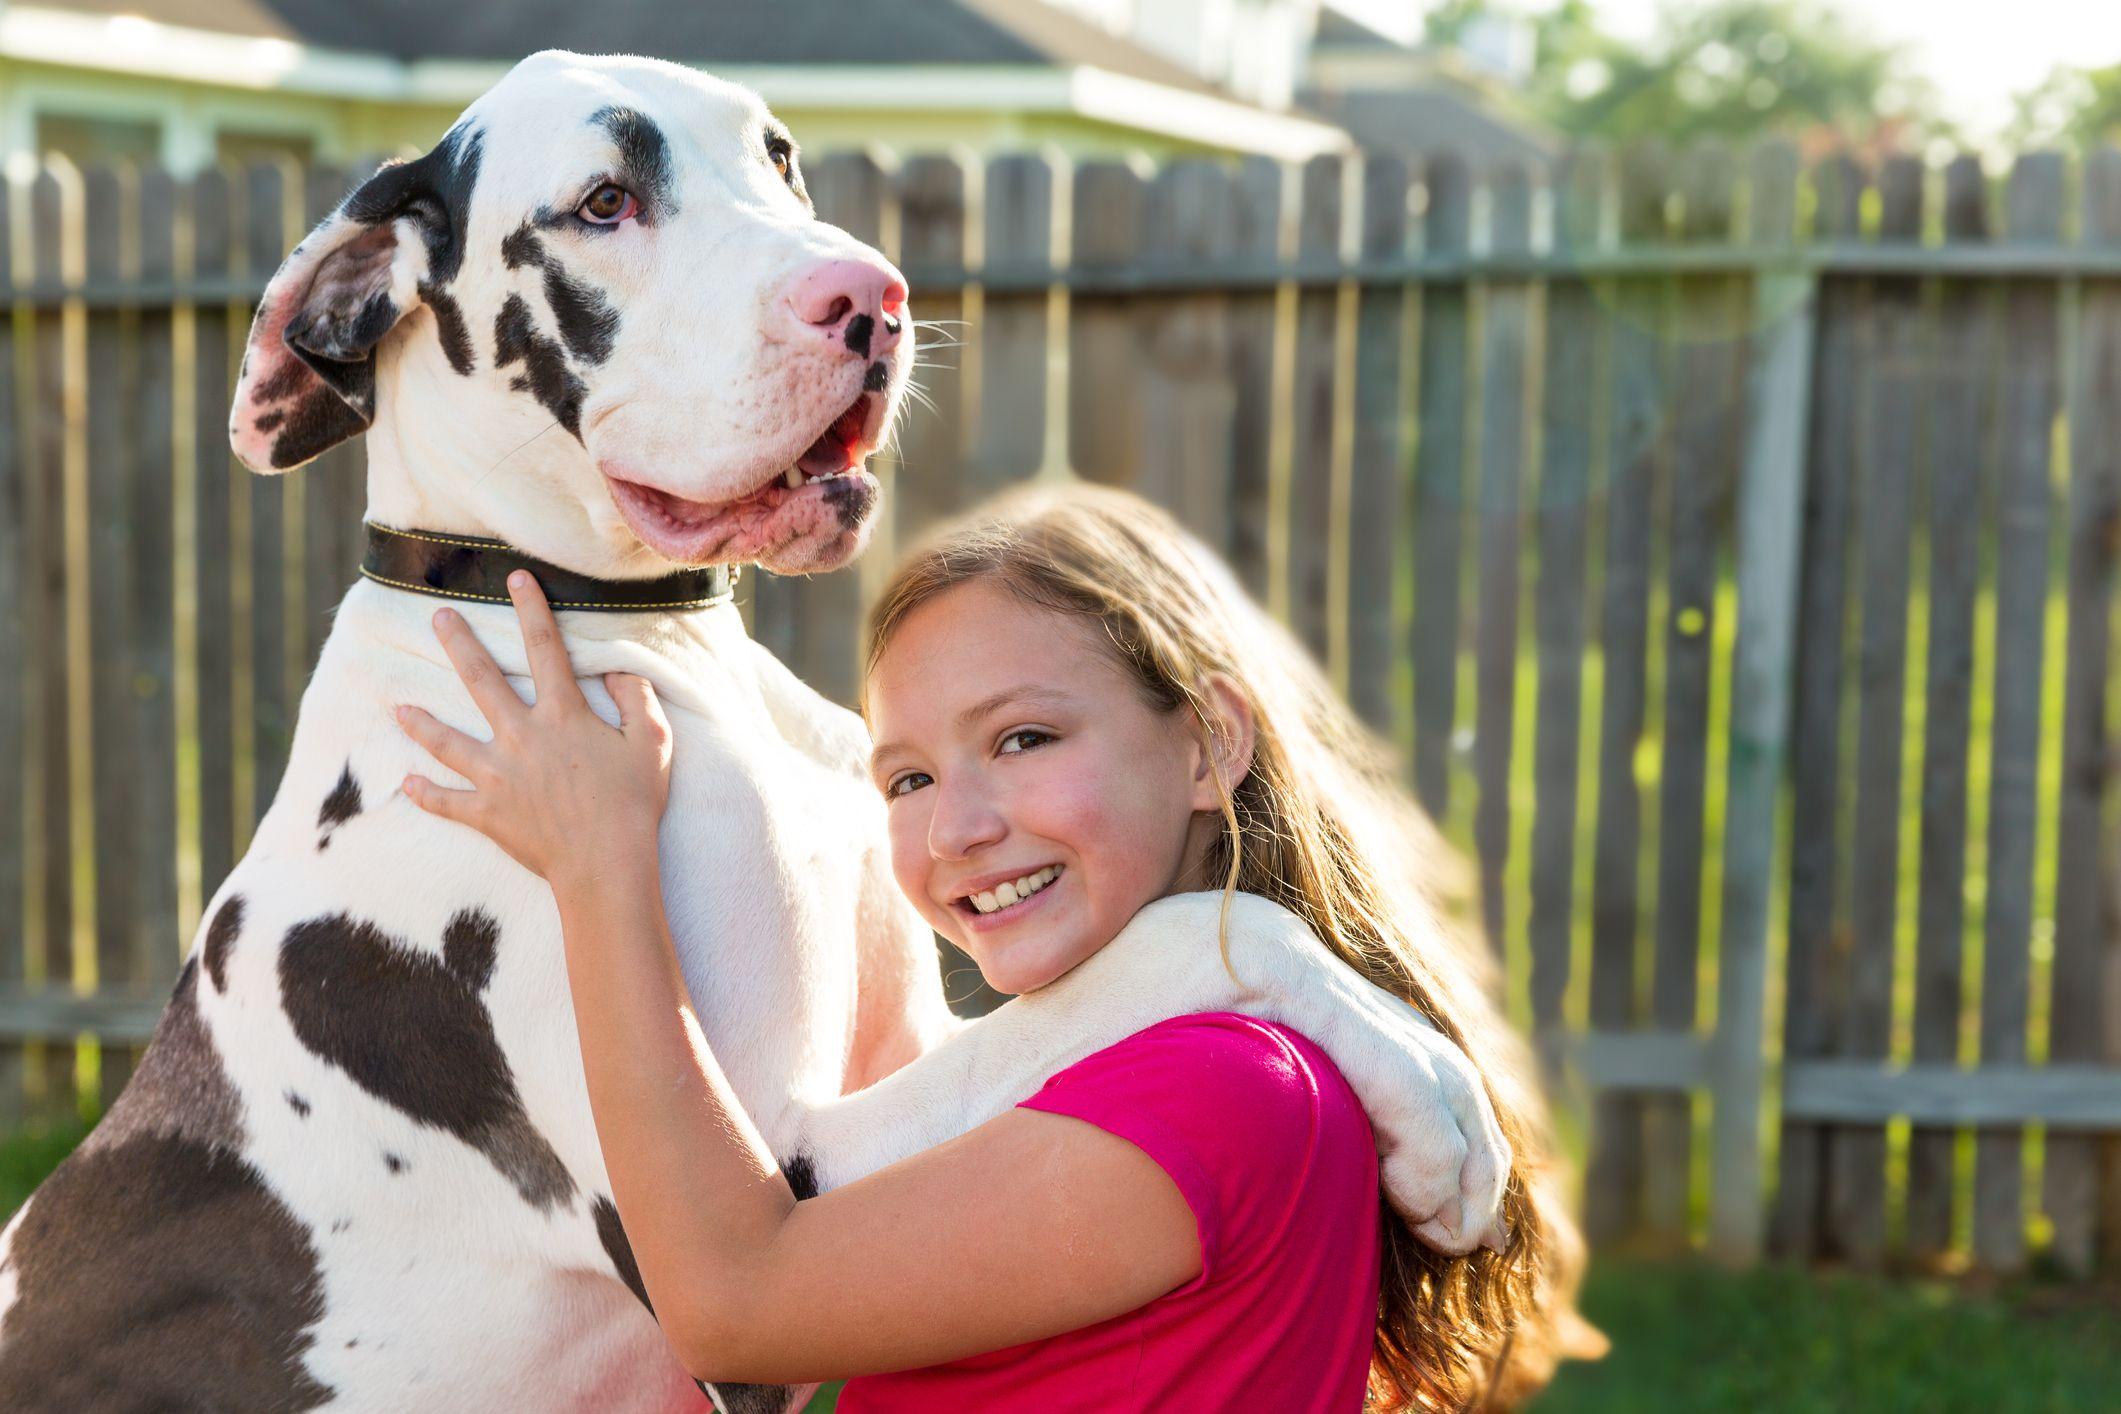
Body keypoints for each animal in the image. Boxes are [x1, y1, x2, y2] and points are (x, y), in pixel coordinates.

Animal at [0, 49, 1510, 1407]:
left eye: (778, 159)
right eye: (603, 200)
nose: (874, 298)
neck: (632, 628)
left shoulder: (903, 1053)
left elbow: (1138, 961)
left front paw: (1431, 1069)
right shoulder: (771, 1189)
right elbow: (1166, 942)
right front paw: (1439, 1102)